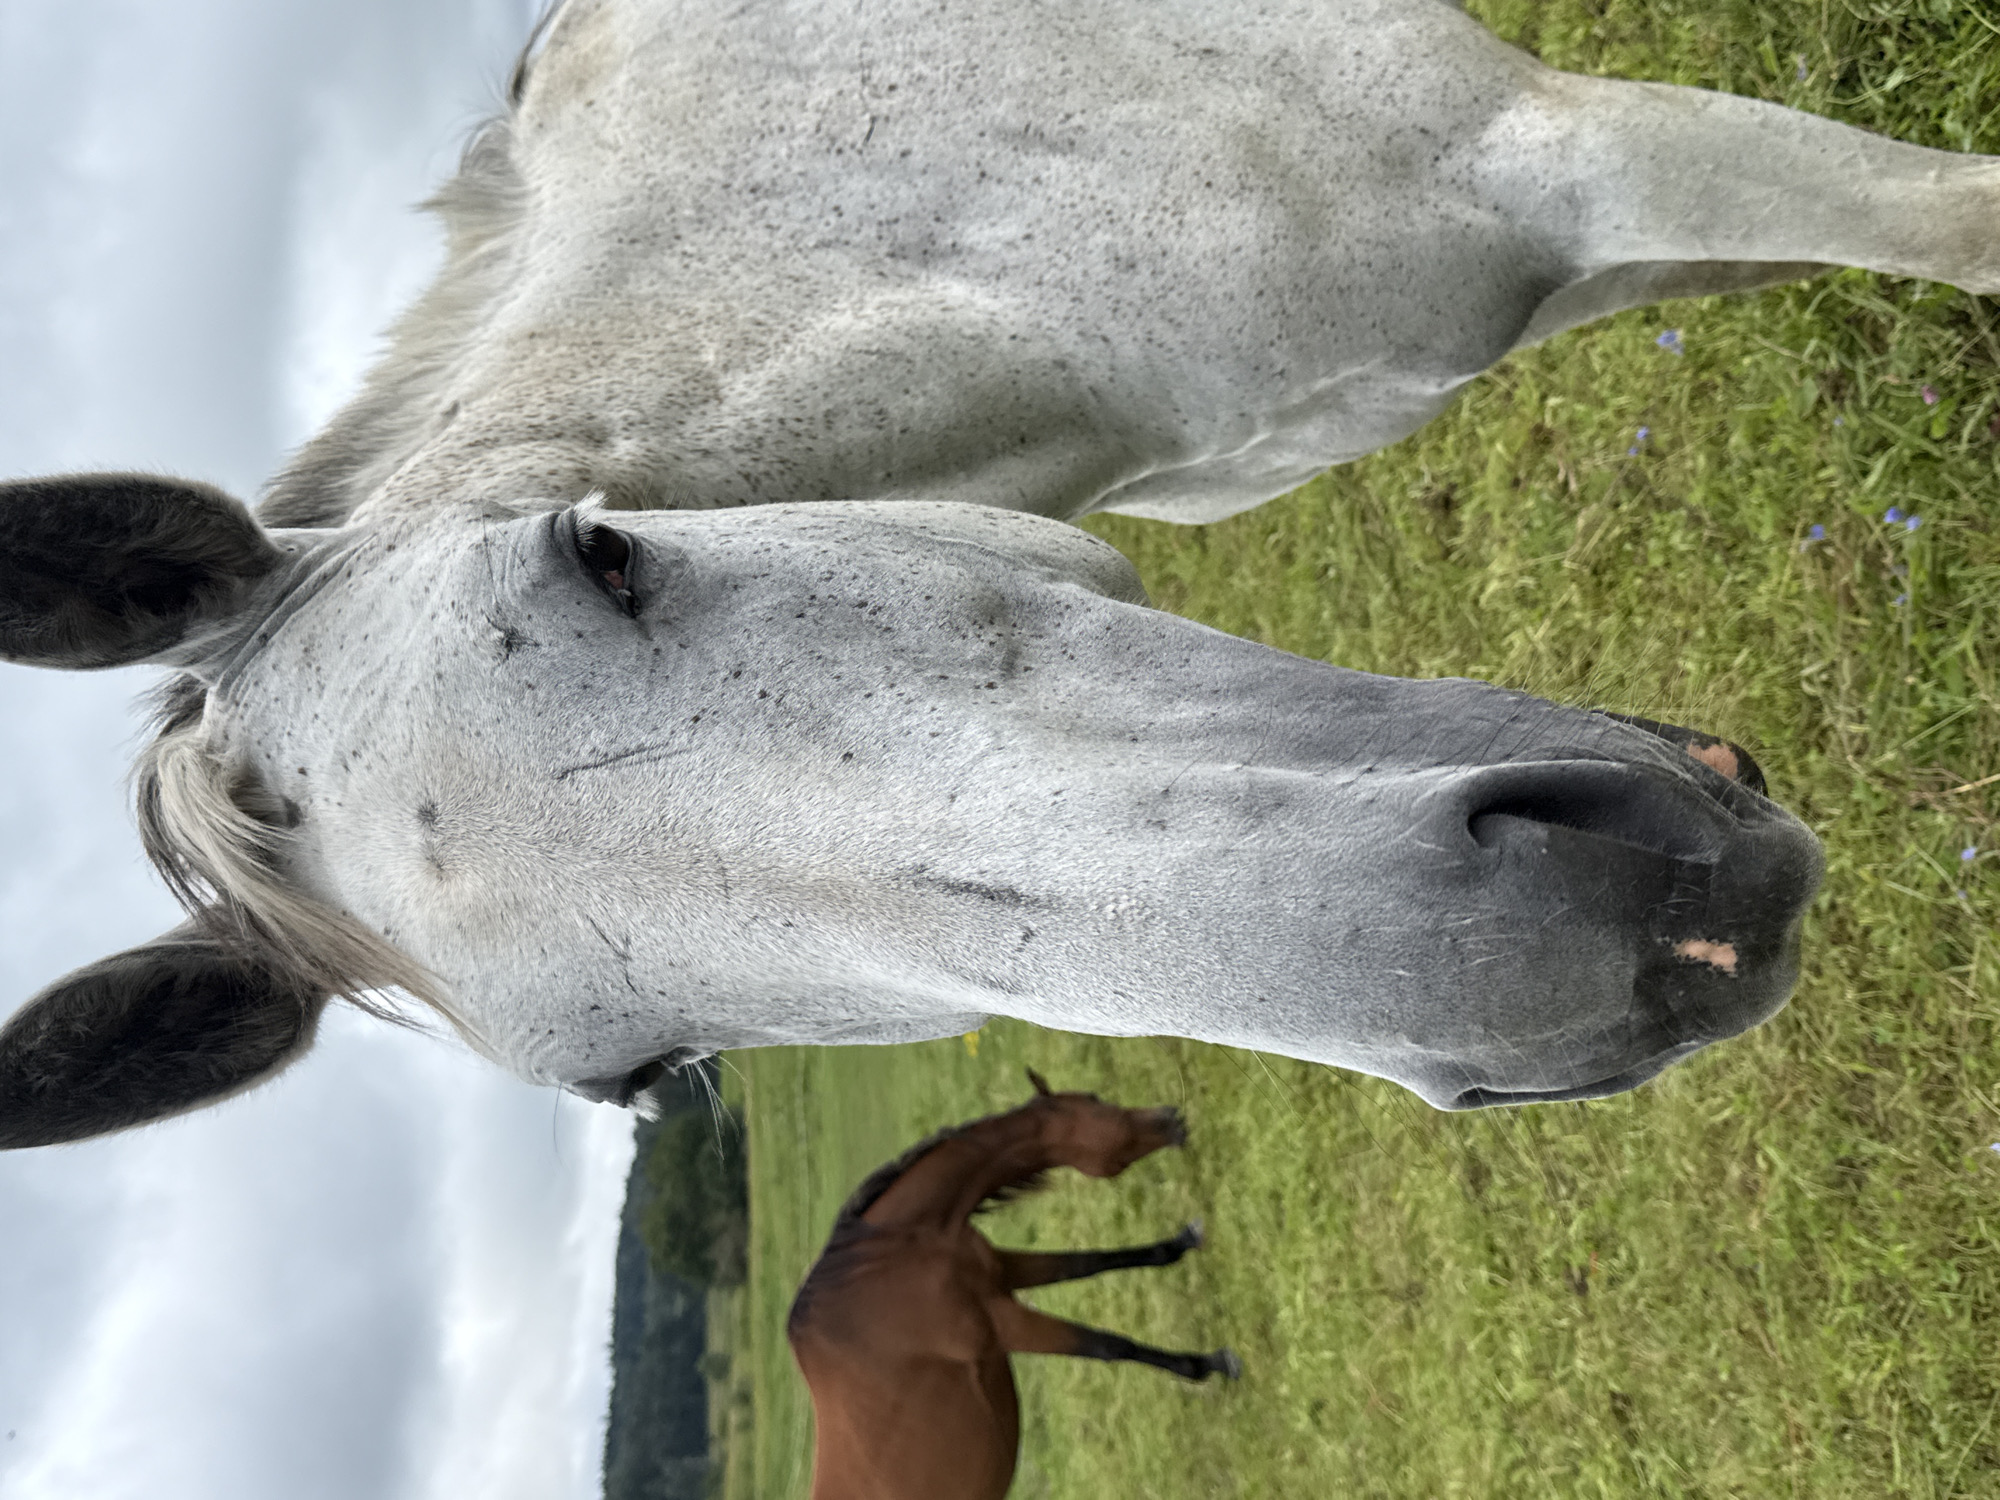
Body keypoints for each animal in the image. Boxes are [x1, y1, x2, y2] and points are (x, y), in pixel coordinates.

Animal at [787, 1072, 1238, 1500]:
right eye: (1095, 1103)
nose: (1171, 1117)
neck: (892, 1259)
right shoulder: (1000, 1325)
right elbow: (1108, 1345)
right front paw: (1210, 1364)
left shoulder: (1002, 1271)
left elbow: (1091, 1262)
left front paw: (1182, 1241)